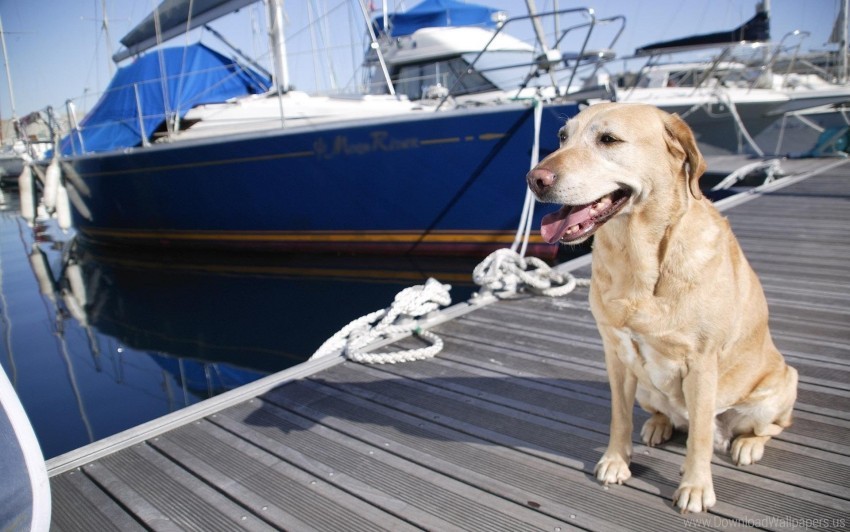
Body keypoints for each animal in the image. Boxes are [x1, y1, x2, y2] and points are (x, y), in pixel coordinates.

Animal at [524, 102, 796, 512]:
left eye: (609, 139)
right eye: (561, 137)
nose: (534, 178)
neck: (640, 260)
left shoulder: (701, 363)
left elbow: (699, 437)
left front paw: (695, 487)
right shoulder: (616, 354)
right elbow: (619, 417)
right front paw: (616, 460)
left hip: (779, 387)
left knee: (765, 427)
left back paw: (747, 444)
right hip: (648, 388)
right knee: (668, 415)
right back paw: (658, 425)